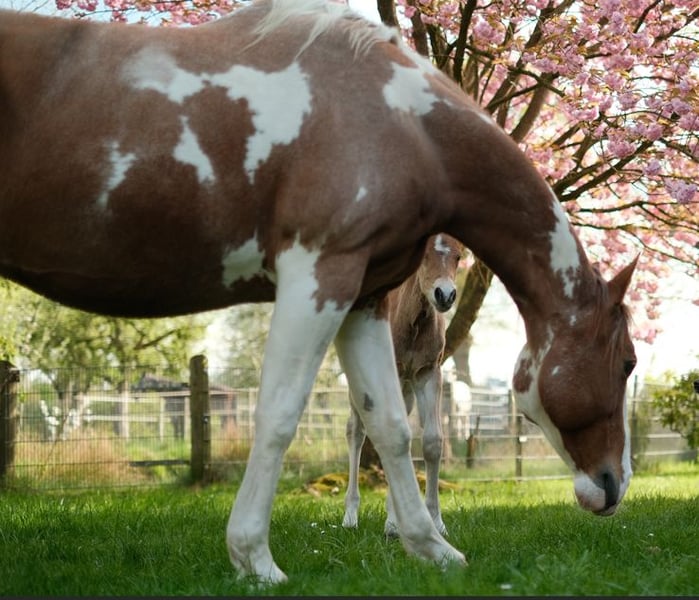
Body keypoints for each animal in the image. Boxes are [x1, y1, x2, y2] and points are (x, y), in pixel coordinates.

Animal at [343, 233, 462, 537]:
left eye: (458, 256)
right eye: (424, 255)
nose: (444, 295)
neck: (414, 321)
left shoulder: (428, 373)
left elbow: (432, 441)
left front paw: (436, 521)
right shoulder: (394, 371)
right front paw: (394, 523)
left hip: (407, 389)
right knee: (356, 433)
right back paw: (350, 516)